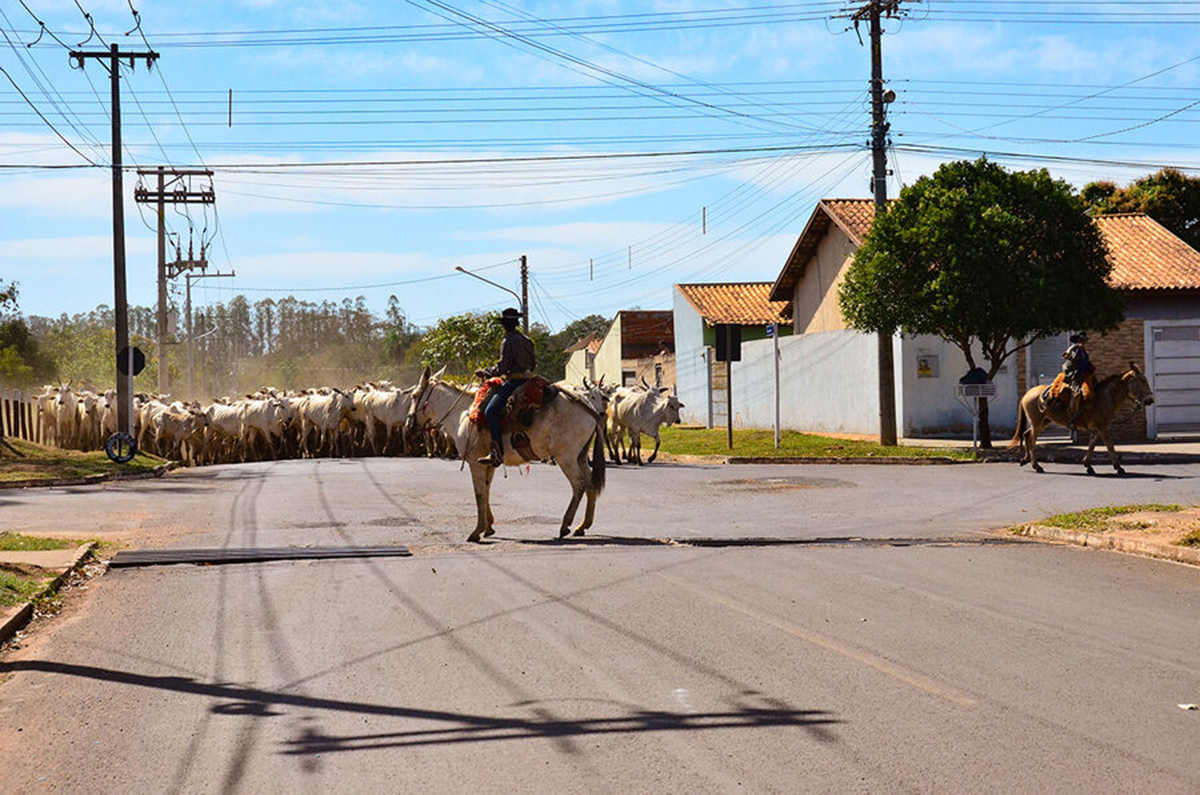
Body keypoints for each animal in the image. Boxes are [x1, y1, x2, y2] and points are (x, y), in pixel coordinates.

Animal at [408, 365, 604, 542]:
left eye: (415, 396)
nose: (409, 424)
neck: (463, 414)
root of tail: (588, 408)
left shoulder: (475, 462)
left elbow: (479, 494)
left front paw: (476, 531)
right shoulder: (489, 463)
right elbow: (486, 490)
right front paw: (488, 527)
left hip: (566, 458)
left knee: (579, 484)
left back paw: (565, 525)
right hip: (580, 456)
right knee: (590, 484)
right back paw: (583, 526)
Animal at [1008, 365, 1156, 475]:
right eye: (1142, 380)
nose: (1150, 400)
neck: (1104, 397)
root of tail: (1027, 393)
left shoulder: (1098, 428)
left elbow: (1092, 445)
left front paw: (1088, 465)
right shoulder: (1103, 427)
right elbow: (1109, 445)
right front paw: (1119, 468)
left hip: (1044, 421)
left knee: (1027, 435)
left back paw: (1026, 459)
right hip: (1037, 422)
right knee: (1032, 440)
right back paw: (1036, 466)